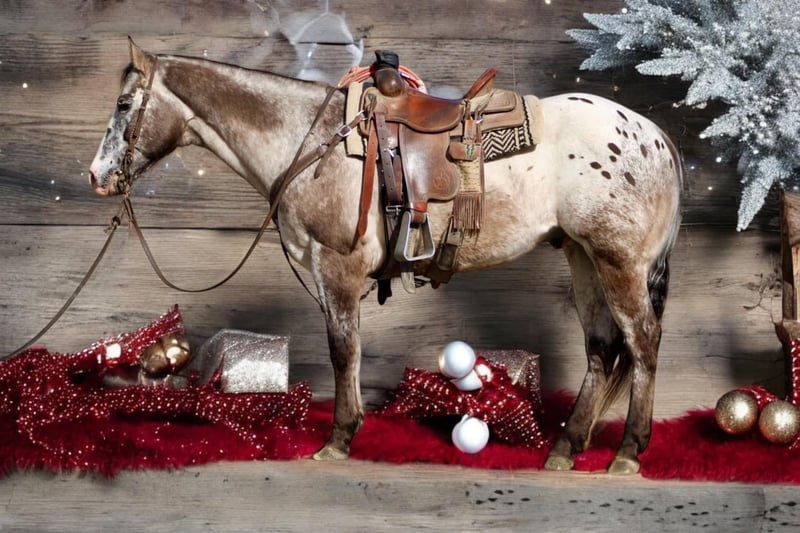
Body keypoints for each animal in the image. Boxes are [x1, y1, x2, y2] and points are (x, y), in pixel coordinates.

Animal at [89, 39, 682, 474]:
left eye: (123, 105)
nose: (97, 176)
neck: (314, 140)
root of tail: (655, 135)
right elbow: (348, 348)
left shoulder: (336, 266)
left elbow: (342, 349)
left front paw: (338, 437)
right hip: (584, 258)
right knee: (603, 348)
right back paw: (566, 447)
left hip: (619, 262)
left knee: (643, 344)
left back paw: (629, 451)